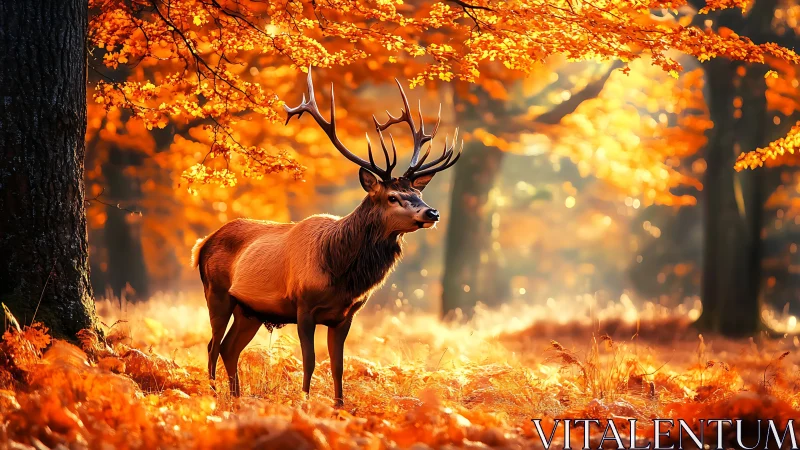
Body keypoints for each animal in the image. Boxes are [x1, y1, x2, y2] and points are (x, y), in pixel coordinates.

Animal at [191, 68, 462, 406]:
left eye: (417, 193)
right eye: (392, 197)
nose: (432, 212)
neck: (340, 269)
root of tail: (201, 245)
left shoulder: (345, 315)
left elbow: (338, 366)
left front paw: (339, 408)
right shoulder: (303, 306)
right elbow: (309, 361)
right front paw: (305, 403)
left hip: (249, 310)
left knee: (229, 348)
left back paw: (237, 398)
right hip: (215, 292)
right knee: (212, 345)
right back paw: (215, 396)